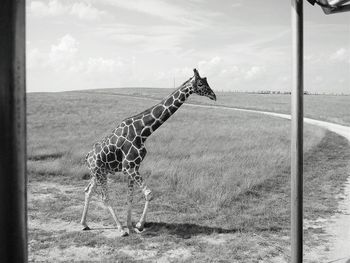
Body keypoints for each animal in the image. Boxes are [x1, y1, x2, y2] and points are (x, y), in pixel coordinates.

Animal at [81, 68, 216, 237]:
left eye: (206, 81)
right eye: (200, 84)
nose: (214, 95)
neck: (142, 132)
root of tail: (87, 156)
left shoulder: (133, 168)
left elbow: (130, 197)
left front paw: (131, 226)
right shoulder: (129, 167)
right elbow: (149, 193)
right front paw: (139, 225)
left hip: (99, 172)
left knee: (88, 191)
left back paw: (84, 224)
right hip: (99, 172)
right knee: (104, 197)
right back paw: (120, 229)